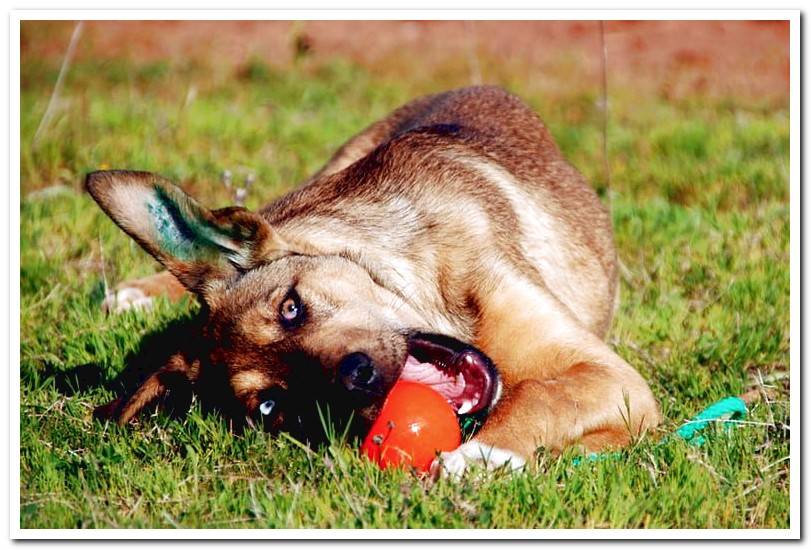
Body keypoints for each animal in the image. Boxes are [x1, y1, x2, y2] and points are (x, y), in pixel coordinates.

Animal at [85, 86, 664, 478]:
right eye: (271, 407)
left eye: (291, 306)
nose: (357, 378)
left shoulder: (612, 377)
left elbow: (542, 395)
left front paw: (477, 457)